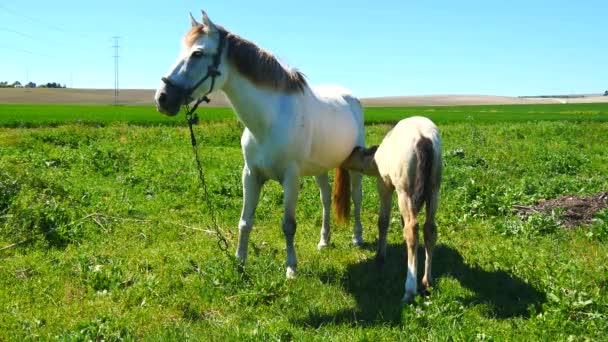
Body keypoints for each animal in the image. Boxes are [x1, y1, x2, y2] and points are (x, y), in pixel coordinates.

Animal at [157, 10, 366, 278]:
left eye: (197, 53)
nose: (162, 98)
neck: (269, 119)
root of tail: (350, 97)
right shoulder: (250, 175)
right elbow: (245, 222)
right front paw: (239, 262)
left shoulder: (291, 178)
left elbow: (288, 225)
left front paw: (291, 268)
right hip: (319, 168)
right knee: (326, 199)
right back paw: (323, 241)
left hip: (355, 163)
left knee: (357, 197)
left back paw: (357, 238)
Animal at [342, 117, 442, 302]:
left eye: (354, 153)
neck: (375, 158)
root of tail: (423, 138)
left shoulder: (384, 185)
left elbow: (383, 221)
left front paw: (380, 257)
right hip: (434, 188)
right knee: (429, 229)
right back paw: (426, 280)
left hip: (404, 190)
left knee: (412, 228)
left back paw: (409, 290)